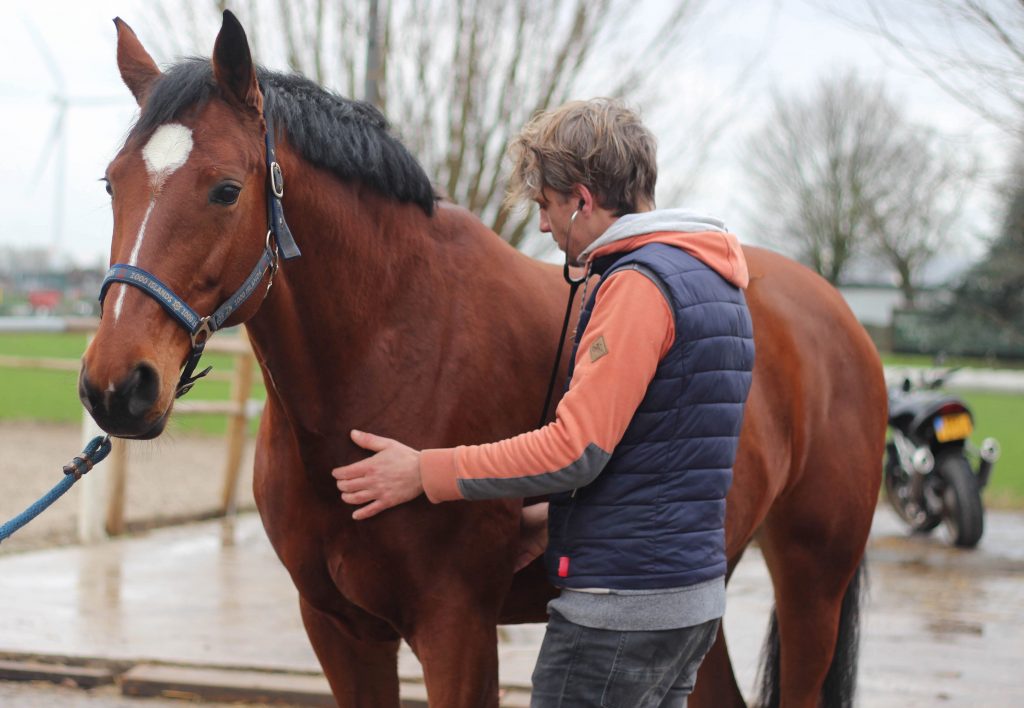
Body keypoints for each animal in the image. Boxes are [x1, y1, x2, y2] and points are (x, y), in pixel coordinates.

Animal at [80, 11, 886, 708]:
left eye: (225, 190)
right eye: (111, 182)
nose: (117, 387)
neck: (389, 349)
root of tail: (839, 317)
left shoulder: (456, 627)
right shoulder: (341, 632)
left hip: (813, 583)